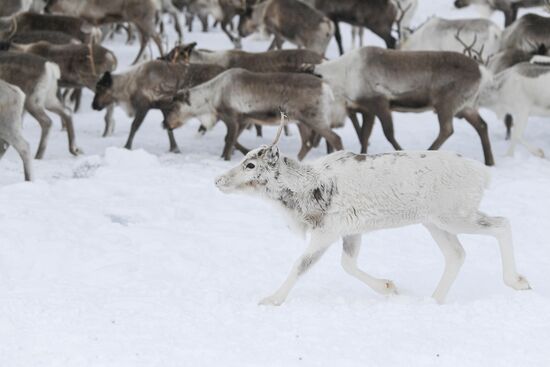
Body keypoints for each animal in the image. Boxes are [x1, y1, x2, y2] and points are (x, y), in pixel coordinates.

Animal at [216, 119, 532, 306]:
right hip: (434, 223)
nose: (218, 180)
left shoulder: (326, 231)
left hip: (455, 216)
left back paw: (518, 281)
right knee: (456, 255)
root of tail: (483, 175)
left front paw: (271, 299)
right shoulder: (351, 231)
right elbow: (348, 264)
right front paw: (389, 287)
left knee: (502, 224)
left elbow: (301, 265)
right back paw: (433, 300)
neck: (304, 189)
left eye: (250, 165)